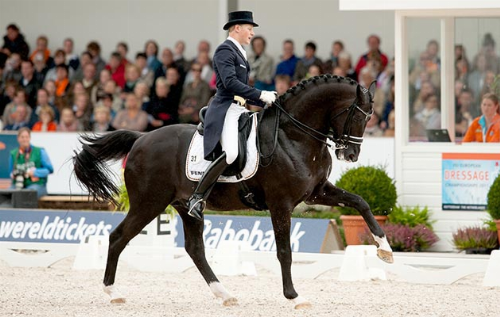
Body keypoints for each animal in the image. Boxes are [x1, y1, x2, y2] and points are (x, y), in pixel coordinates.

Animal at [74, 74, 394, 308]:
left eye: (370, 117)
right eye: (359, 115)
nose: (350, 155)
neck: (293, 136)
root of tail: (141, 138)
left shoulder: (317, 192)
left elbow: (361, 202)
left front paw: (385, 250)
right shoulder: (281, 203)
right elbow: (285, 251)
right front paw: (294, 296)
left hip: (184, 206)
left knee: (195, 249)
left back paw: (225, 294)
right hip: (148, 203)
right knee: (118, 238)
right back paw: (113, 292)